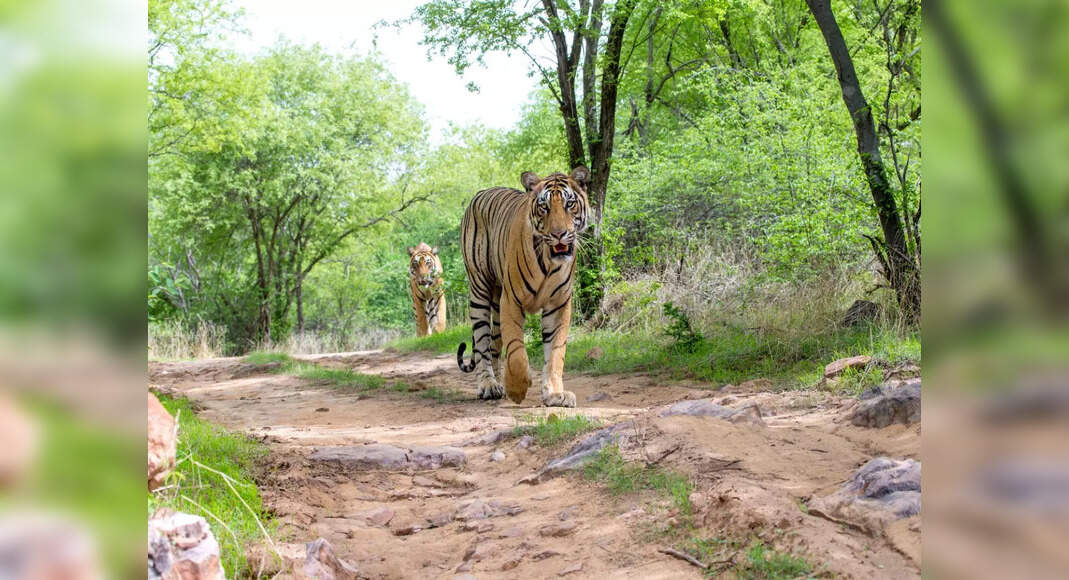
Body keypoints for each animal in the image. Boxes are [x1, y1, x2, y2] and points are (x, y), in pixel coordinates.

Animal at [456, 167, 590, 407]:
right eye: (544, 207)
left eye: (570, 204)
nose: (559, 234)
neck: (549, 262)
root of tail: (482, 192)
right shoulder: (511, 301)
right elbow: (516, 352)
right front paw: (518, 388)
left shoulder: (558, 305)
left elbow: (555, 354)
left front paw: (555, 394)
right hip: (479, 289)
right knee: (482, 345)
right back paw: (488, 385)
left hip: (497, 303)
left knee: (494, 346)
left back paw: (499, 385)